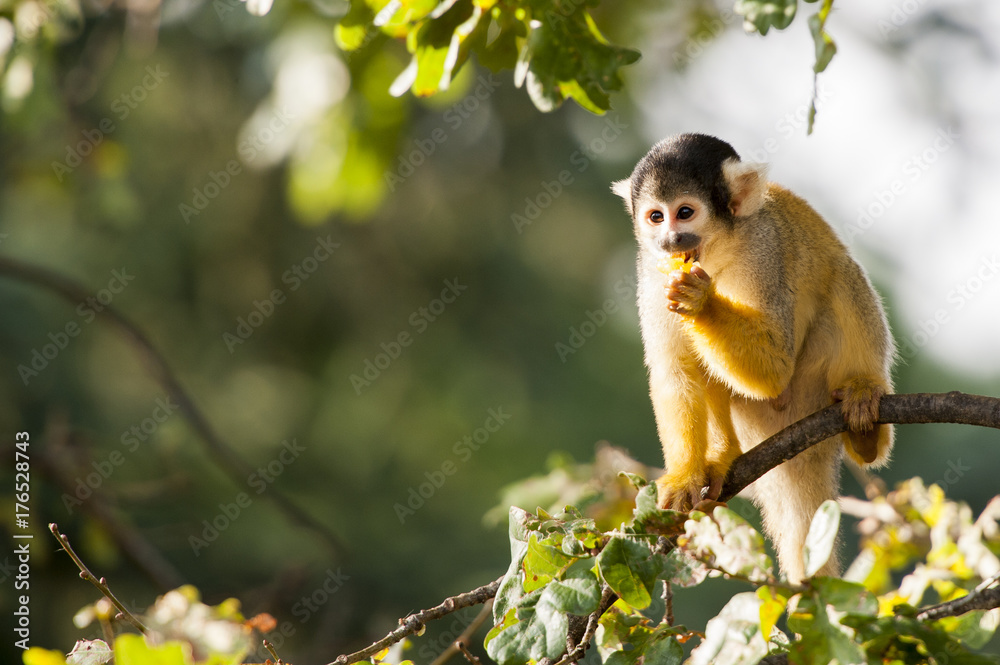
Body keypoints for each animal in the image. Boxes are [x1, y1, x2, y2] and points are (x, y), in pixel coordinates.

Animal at [612, 133, 895, 583]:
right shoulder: (653, 272)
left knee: (842, 277)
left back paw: (866, 419)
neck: (715, 253)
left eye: (685, 213)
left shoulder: (763, 250)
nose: (670, 240)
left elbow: (774, 367)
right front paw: (684, 477)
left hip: (814, 389)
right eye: (656, 217)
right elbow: (675, 372)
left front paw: (701, 302)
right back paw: (723, 456)